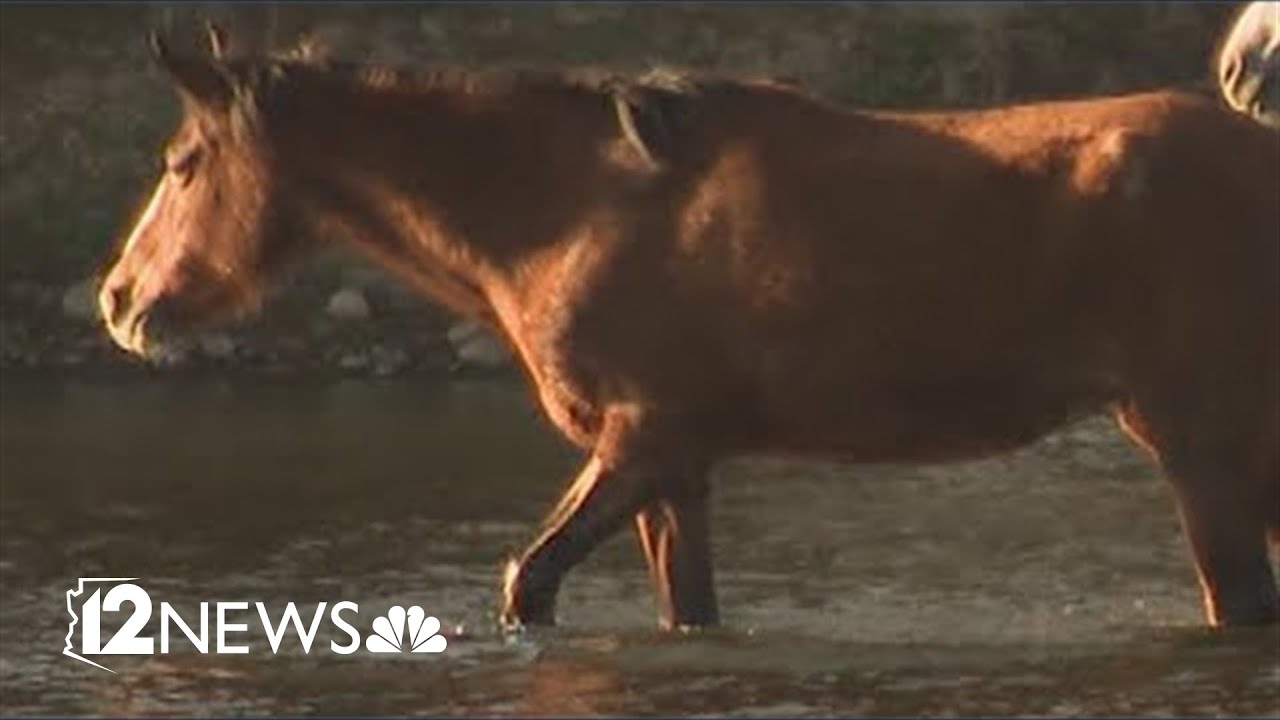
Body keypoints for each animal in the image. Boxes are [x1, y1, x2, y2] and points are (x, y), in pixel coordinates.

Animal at [98, 27, 1280, 630]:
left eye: (181, 162)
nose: (119, 300)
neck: (561, 215)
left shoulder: (643, 437)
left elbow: (527, 585)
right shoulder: (679, 464)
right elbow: (684, 611)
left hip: (1198, 439)